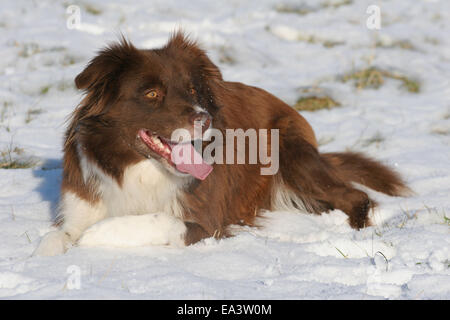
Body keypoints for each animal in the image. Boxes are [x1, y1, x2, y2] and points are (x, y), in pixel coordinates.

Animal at [33, 33, 410, 258]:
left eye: (193, 90)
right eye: (152, 94)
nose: (204, 118)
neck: (136, 170)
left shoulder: (204, 221)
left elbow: (154, 220)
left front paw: (95, 235)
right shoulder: (81, 202)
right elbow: (56, 237)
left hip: (289, 153)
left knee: (356, 197)